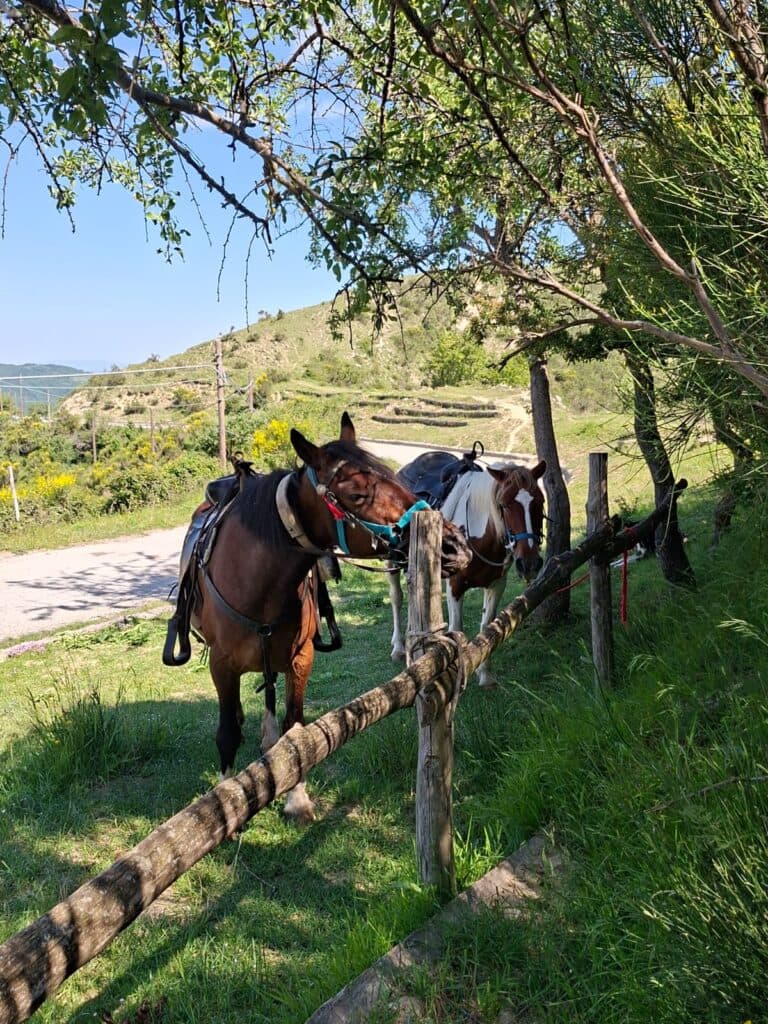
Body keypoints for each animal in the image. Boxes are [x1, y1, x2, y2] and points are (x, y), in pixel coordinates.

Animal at [163, 413, 472, 823]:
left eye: (396, 479)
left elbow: (295, 729)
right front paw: (225, 805)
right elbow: (227, 732)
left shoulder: (301, 657)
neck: (256, 581)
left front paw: (297, 798)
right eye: (357, 495)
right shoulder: (221, 663)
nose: (455, 546)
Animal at [388, 450, 546, 689]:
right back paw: (398, 646)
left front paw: (485, 675)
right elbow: (457, 628)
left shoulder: (496, 585)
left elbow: (488, 627)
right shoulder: (455, 587)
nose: (529, 563)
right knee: (396, 597)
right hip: (391, 561)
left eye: (540, 501)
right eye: (504, 504)